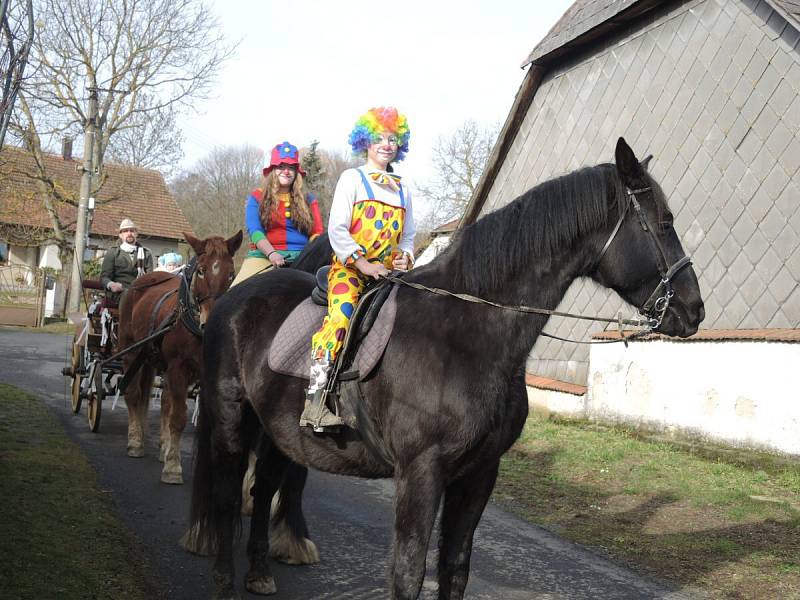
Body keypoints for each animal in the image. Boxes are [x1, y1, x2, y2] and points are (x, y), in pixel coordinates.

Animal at [115, 230, 241, 482]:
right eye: (201, 270)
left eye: (231, 273)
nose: (212, 319)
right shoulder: (178, 369)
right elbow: (179, 417)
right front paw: (173, 467)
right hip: (132, 352)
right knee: (133, 394)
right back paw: (135, 441)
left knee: (164, 401)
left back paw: (163, 447)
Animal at [188, 138, 708, 596]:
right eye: (664, 223)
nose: (694, 310)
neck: (465, 333)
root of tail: (233, 298)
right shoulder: (421, 473)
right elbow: (408, 573)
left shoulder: (478, 476)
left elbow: (455, 568)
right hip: (231, 421)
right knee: (226, 495)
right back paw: (224, 583)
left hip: (278, 431)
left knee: (262, 490)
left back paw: (259, 573)